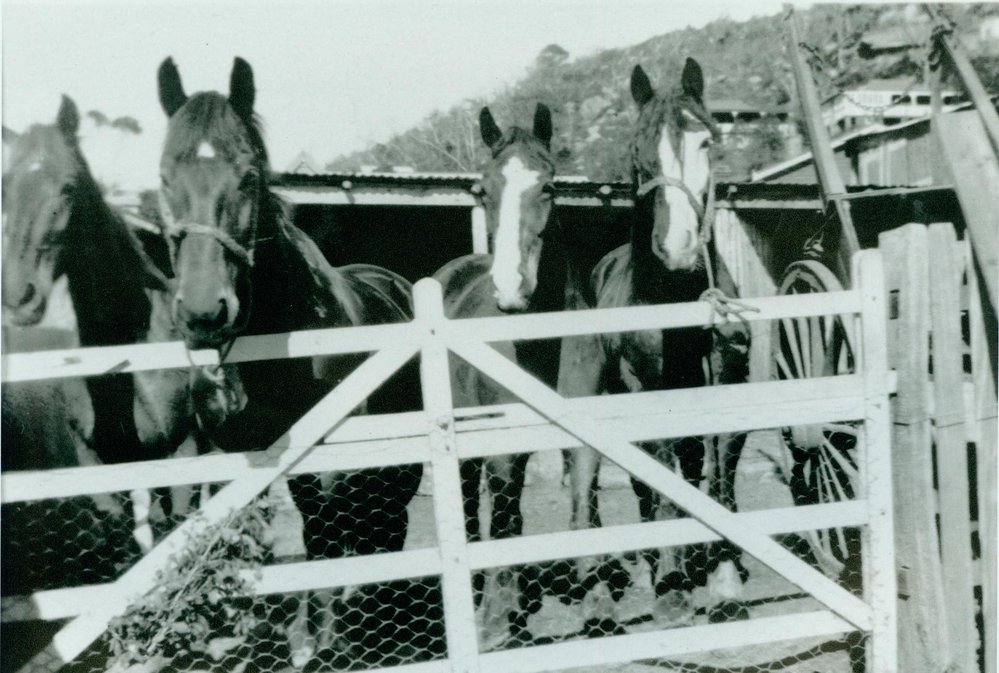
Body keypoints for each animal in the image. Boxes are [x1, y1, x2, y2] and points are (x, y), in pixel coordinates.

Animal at [155, 57, 426, 665]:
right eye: (163, 178)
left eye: (249, 176)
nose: (204, 312)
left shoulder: (330, 467)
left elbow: (323, 544)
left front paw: (325, 643)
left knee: (385, 524)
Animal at [432, 103, 571, 647]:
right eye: (482, 190)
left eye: (548, 186)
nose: (510, 288)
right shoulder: (495, 450)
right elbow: (501, 515)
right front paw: (494, 620)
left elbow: (515, 516)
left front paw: (513, 611)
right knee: (472, 505)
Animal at [567, 59, 751, 631]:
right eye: (637, 149)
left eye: (707, 142)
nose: (679, 249)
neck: (674, 296)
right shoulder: (647, 391)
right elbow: (663, 480)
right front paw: (672, 591)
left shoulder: (727, 379)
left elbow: (717, 473)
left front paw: (723, 580)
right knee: (603, 480)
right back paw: (617, 588)